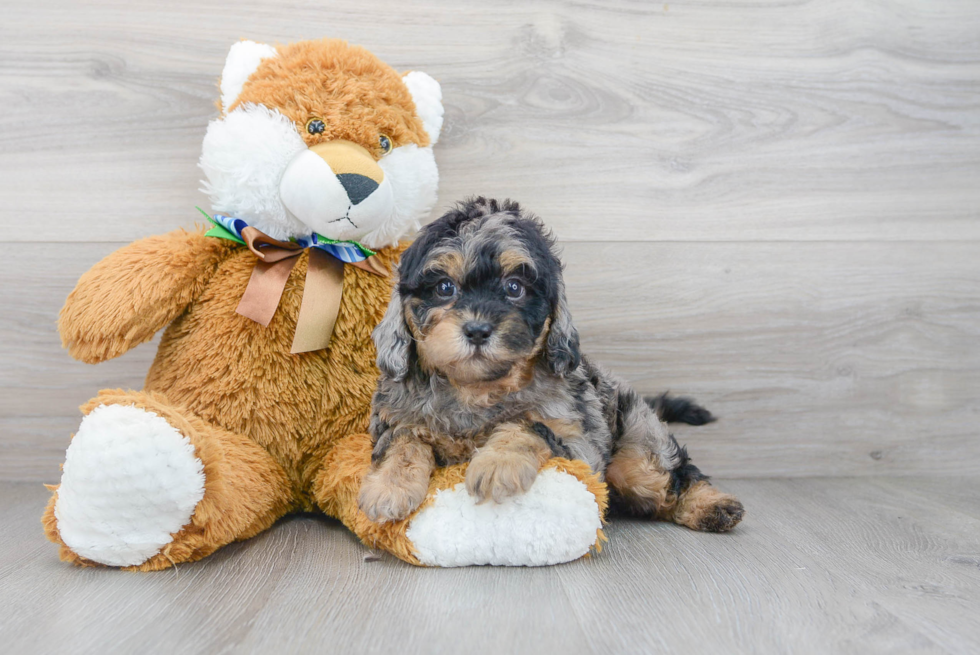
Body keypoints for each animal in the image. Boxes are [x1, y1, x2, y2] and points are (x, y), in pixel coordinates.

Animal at [358, 196, 744, 532]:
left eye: (514, 287)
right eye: (444, 287)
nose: (478, 330)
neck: (475, 389)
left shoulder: (581, 450)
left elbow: (527, 424)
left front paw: (497, 462)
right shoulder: (393, 419)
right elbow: (404, 440)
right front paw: (390, 486)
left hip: (637, 442)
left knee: (672, 474)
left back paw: (712, 505)